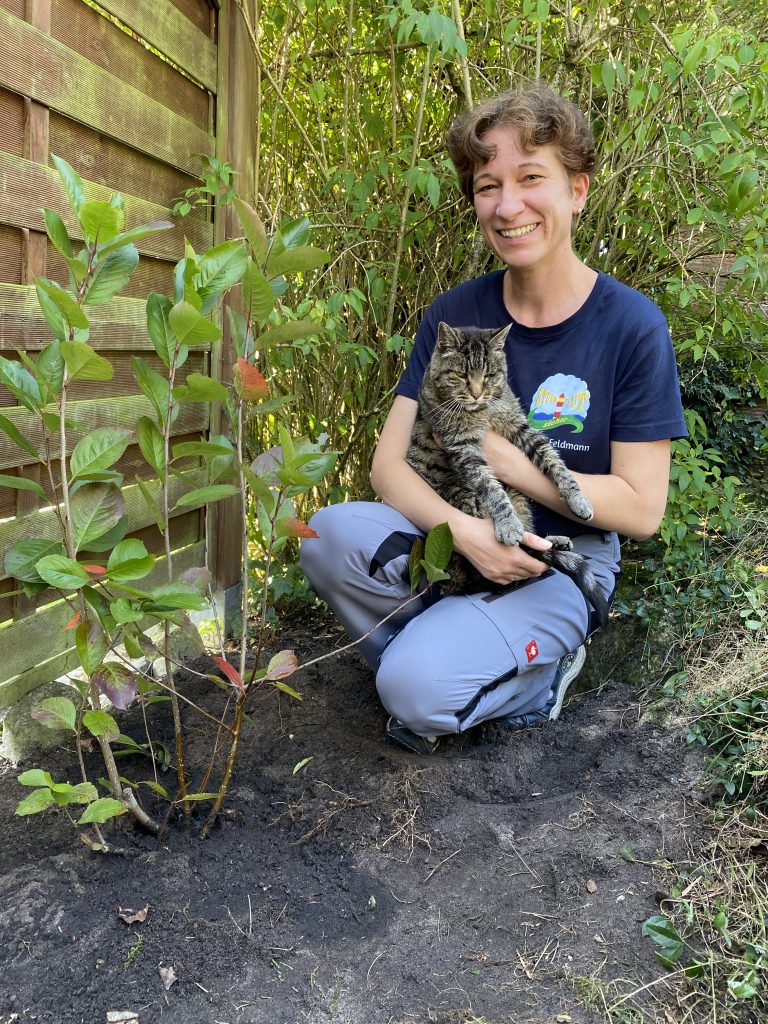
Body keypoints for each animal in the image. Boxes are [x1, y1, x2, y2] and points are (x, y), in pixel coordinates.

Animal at [407, 322, 609, 627]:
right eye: (461, 375)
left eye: (490, 375)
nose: (477, 393)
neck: (483, 410)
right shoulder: (463, 447)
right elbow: (491, 487)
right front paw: (507, 524)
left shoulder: (519, 426)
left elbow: (553, 459)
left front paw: (577, 499)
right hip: (465, 498)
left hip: (519, 496)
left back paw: (555, 542)